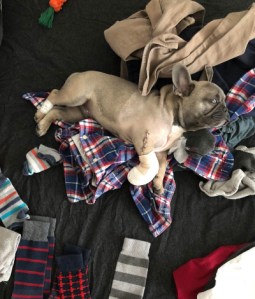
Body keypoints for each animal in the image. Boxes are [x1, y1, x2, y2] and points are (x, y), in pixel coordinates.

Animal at [33, 63, 229, 195]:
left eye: (224, 100)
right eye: (213, 100)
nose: (227, 109)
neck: (175, 118)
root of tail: (79, 73)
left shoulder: (161, 151)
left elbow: (162, 165)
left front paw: (158, 184)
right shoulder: (144, 142)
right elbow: (152, 165)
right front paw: (139, 176)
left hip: (77, 113)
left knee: (57, 111)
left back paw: (42, 122)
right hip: (75, 95)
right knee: (54, 94)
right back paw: (42, 110)